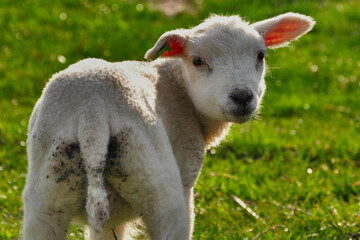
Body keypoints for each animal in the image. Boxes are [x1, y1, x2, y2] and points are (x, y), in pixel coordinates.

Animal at [23, 12, 316, 239]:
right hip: (157, 184)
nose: (242, 97)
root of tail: (91, 113)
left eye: (261, 55)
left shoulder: (110, 222)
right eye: (197, 61)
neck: (177, 85)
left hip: (46, 195)